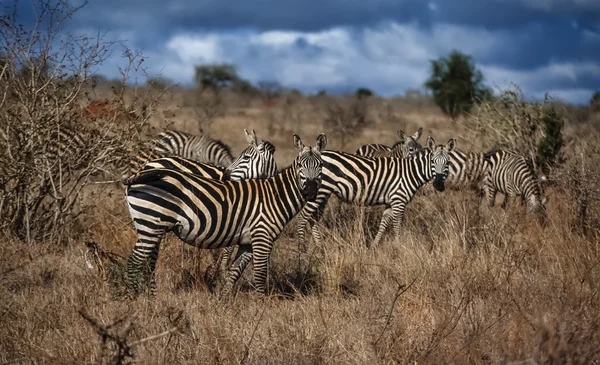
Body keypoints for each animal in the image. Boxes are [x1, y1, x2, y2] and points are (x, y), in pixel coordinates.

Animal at [123, 132, 326, 294]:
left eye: (321, 165)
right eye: (300, 165)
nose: (310, 191)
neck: (273, 195)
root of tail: (144, 170)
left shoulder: (246, 241)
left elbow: (235, 272)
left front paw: (224, 299)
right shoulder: (260, 236)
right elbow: (259, 275)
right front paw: (262, 308)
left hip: (152, 227)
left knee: (148, 262)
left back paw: (151, 297)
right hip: (151, 226)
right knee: (134, 262)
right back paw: (133, 298)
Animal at [296, 135, 454, 249]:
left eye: (447, 163)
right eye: (433, 162)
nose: (438, 184)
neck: (411, 172)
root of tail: (319, 153)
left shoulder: (391, 202)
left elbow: (383, 223)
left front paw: (373, 246)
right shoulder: (399, 200)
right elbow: (397, 225)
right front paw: (399, 247)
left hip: (324, 194)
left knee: (313, 218)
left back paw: (320, 247)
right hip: (319, 192)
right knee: (303, 217)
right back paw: (302, 248)